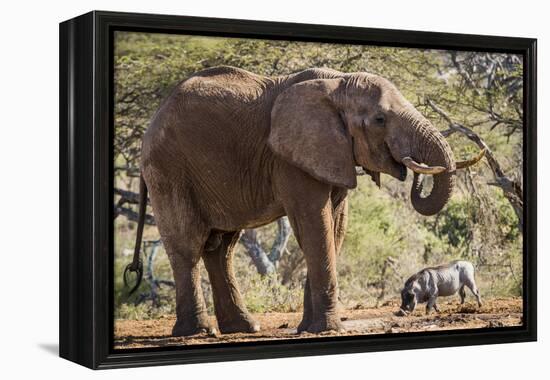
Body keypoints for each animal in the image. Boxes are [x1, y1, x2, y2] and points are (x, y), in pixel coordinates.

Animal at [124, 65, 484, 336]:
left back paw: (245, 328)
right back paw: (200, 332)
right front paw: (327, 329)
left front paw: (309, 329)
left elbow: (334, 227)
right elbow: (314, 222)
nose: (412, 169)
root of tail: (151, 123)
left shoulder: (332, 152)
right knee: (188, 245)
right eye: (380, 120)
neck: (337, 82)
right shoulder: (289, 158)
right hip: (169, 169)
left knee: (221, 248)